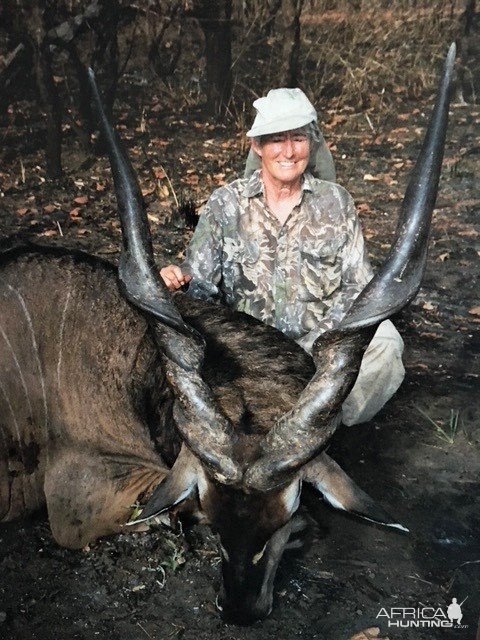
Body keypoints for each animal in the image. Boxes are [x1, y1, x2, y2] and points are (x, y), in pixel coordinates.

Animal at [0, 46, 456, 624]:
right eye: (218, 524)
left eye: (280, 519)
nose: (240, 609)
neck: (135, 362)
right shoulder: (83, 499)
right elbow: (166, 514)